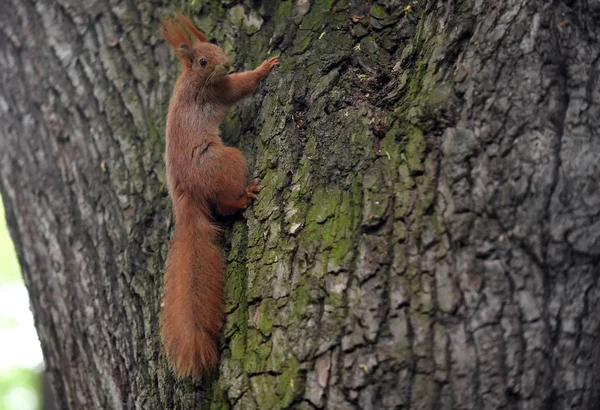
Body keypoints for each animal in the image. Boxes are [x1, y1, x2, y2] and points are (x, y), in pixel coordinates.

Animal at [159, 13, 282, 378]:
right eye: (202, 61)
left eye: (215, 44)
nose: (227, 63)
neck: (190, 79)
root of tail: (186, 198)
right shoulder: (218, 90)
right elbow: (242, 86)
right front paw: (265, 66)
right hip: (226, 161)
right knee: (226, 205)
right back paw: (245, 196)